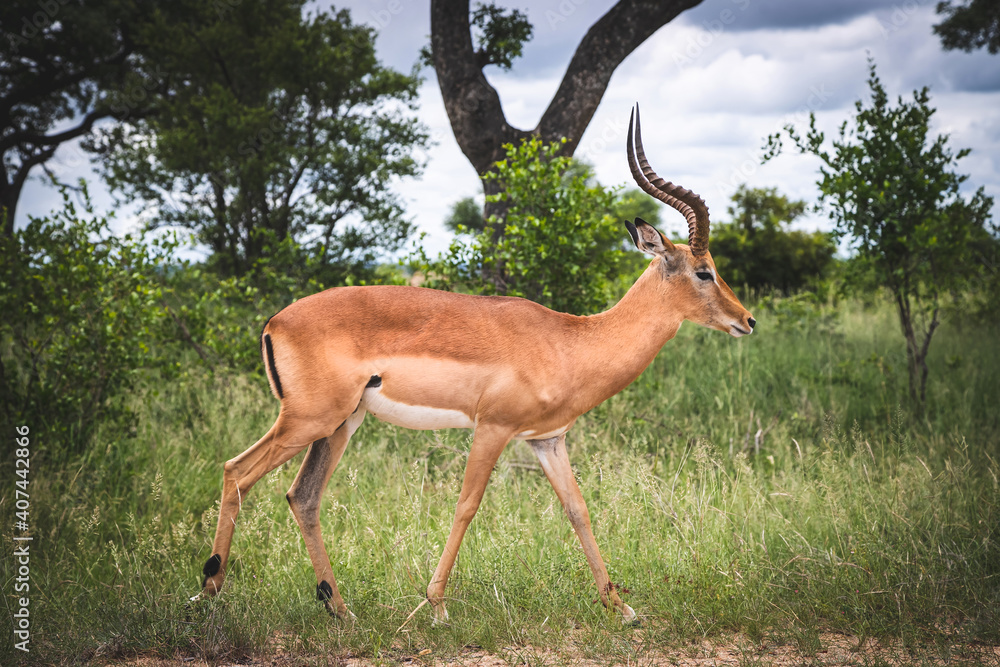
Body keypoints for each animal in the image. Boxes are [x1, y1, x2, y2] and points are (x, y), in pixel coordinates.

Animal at [195, 105, 755, 624]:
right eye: (704, 271)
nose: (746, 320)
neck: (571, 341)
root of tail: (275, 321)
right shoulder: (492, 428)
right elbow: (467, 505)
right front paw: (436, 605)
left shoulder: (548, 439)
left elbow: (578, 510)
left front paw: (621, 608)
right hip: (309, 419)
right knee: (236, 471)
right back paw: (207, 592)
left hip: (340, 423)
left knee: (302, 497)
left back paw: (340, 609)